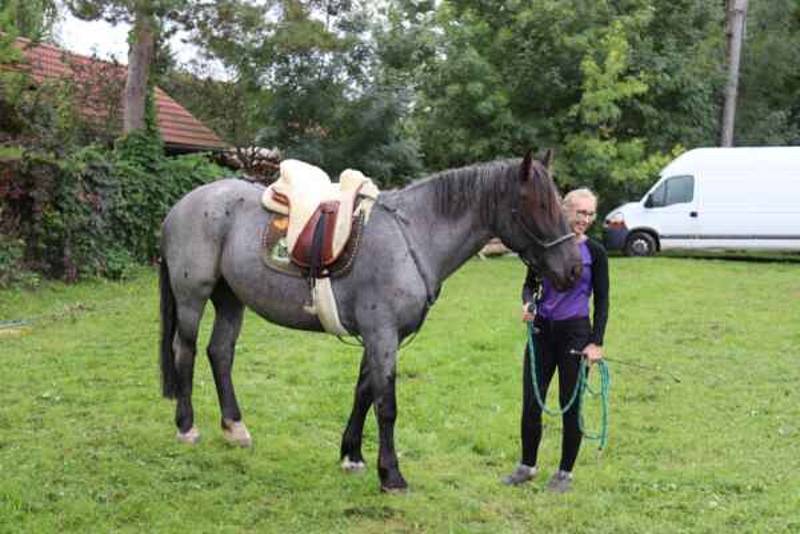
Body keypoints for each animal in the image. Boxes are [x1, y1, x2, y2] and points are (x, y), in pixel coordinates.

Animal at [158, 150, 580, 494]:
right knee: (185, 352)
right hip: (193, 297)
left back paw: (235, 428)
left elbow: (363, 393)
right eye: (539, 204)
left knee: (220, 353)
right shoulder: (382, 335)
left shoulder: (377, 338)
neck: (414, 236)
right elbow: (386, 404)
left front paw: (352, 456)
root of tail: (181, 206)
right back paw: (187, 426)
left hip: (231, 299)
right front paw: (391, 475)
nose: (574, 270)